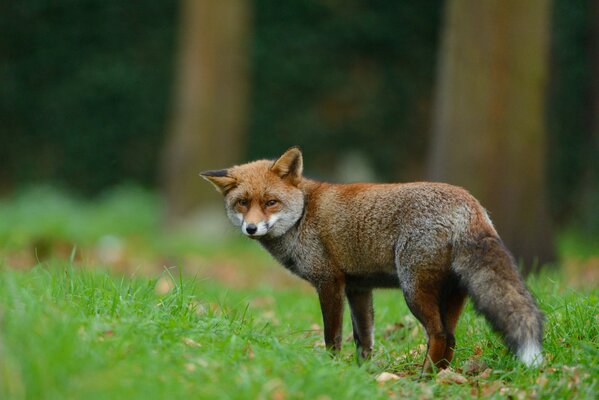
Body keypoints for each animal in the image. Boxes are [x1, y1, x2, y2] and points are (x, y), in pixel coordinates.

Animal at [200, 147, 544, 372]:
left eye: (271, 202)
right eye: (242, 203)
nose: (251, 228)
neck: (303, 215)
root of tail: (471, 204)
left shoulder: (329, 282)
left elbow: (333, 337)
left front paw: (331, 370)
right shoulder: (358, 288)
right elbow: (363, 339)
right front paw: (361, 376)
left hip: (414, 290)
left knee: (439, 335)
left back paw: (423, 379)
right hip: (452, 294)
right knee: (452, 339)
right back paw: (439, 377)